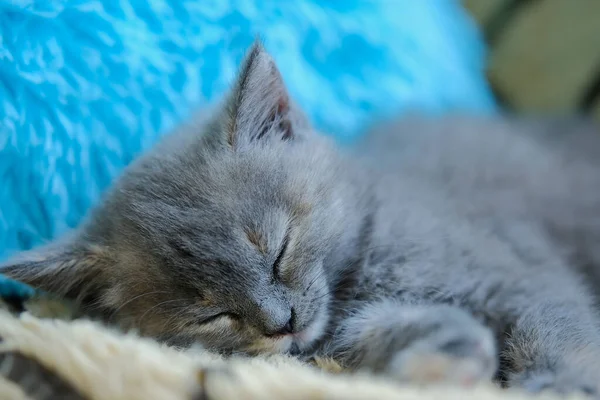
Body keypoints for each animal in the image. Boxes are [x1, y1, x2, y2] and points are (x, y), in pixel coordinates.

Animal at [3, 42, 600, 396]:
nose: (280, 322)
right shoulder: (329, 339)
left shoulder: (521, 274)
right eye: (211, 314)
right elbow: (352, 339)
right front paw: (438, 350)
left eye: (279, 249)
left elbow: (557, 326)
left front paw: (556, 382)